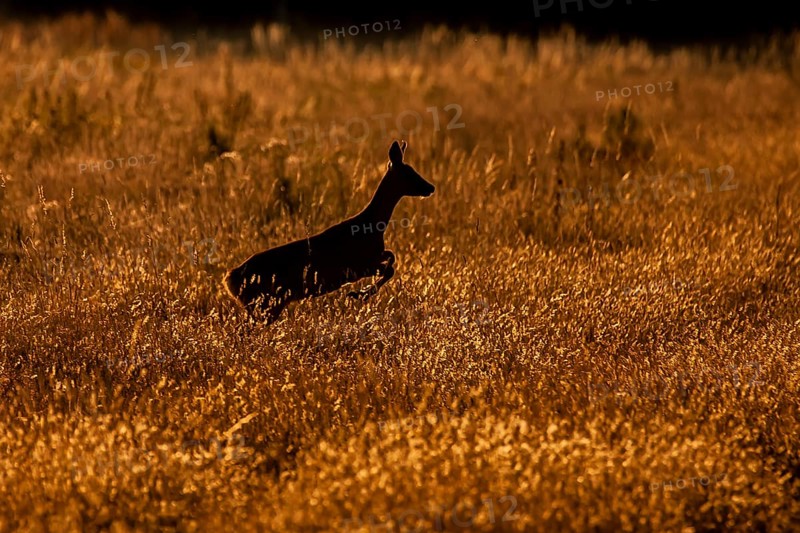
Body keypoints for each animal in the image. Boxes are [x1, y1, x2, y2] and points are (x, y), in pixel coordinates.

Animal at [223, 140, 435, 323]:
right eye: (409, 173)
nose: (430, 187)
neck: (372, 226)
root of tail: (230, 278)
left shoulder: (371, 258)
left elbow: (391, 257)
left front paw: (361, 293)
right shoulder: (357, 266)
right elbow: (389, 267)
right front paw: (359, 294)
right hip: (264, 303)